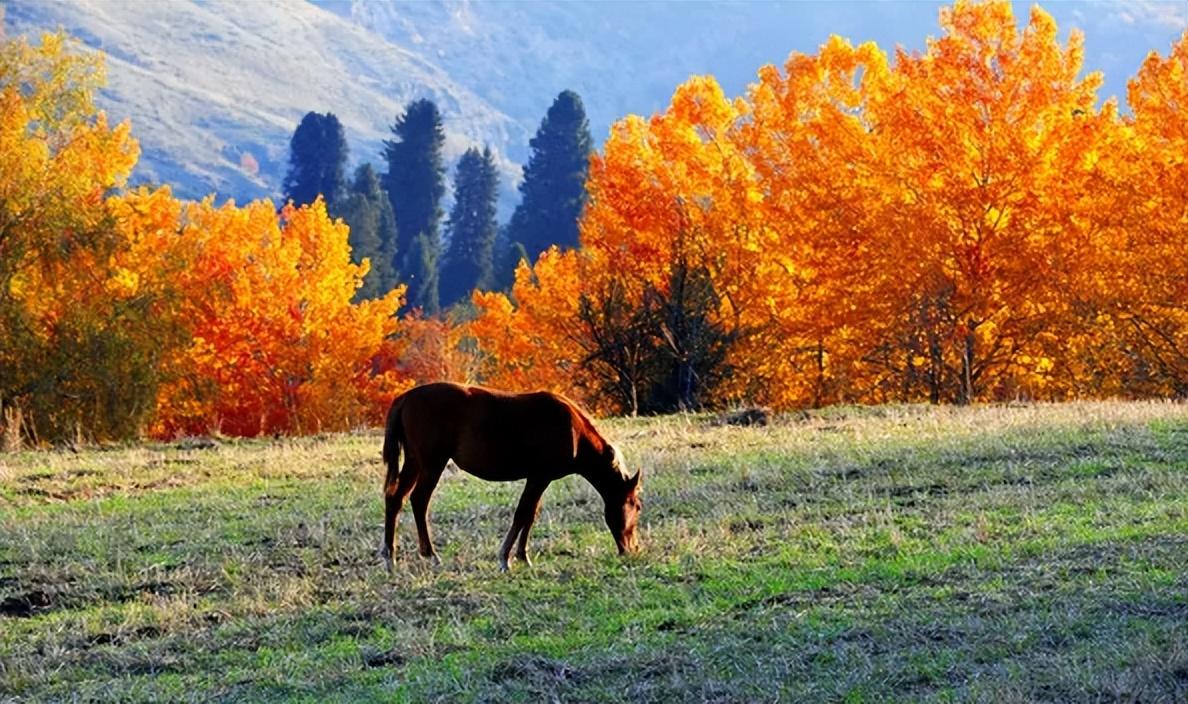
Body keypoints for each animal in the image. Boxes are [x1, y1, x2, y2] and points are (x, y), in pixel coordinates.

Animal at [377, 382, 641, 567]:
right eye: (636, 506)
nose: (632, 549)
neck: (573, 431)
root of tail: (405, 398)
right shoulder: (539, 477)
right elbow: (522, 513)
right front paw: (505, 558)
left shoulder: (539, 479)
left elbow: (530, 514)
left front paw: (522, 556)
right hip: (432, 464)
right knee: (419, 500)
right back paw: (430, 554)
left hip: (414, 462)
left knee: (395, 499)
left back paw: (390, 555)